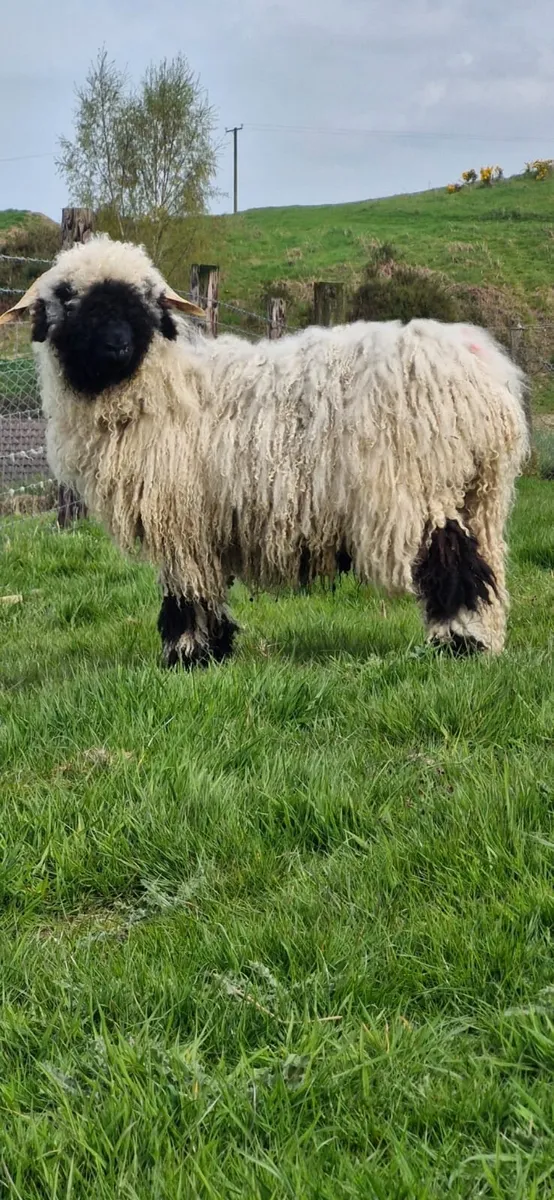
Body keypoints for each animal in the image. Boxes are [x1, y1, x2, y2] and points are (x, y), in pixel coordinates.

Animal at [0, 234, 529, 667]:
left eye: (144, 304)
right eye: (69, 300)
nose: (117, 345)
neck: (160, 385)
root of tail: (481, 365)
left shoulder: (183, 518)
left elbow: (187, 589)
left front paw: (188, 656)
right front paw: (212, 651)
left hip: (420, 492)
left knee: (452, 562)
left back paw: (457, 646)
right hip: (480, 494)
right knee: (488, 570)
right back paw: (486, 641)